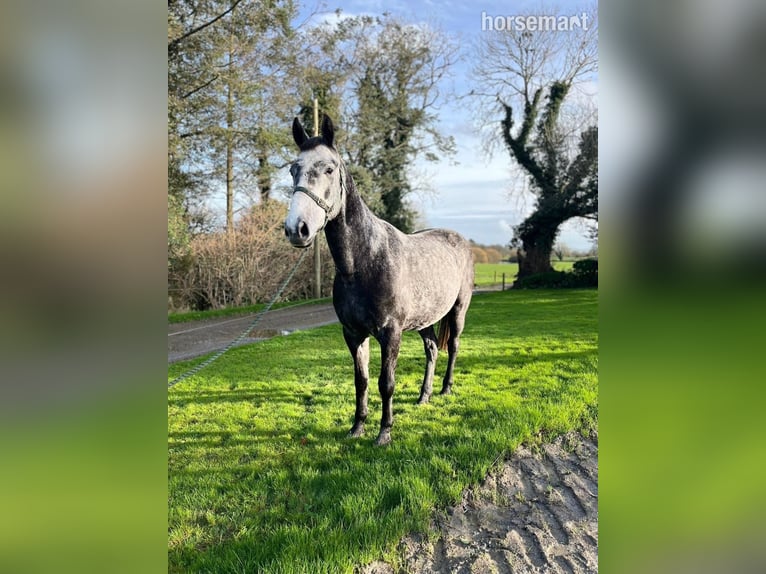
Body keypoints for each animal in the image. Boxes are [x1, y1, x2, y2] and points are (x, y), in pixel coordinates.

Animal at [284, 114, 474, 445]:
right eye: (293, 169)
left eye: (329, 169)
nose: (298, 228)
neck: (363, 262)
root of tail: (459, 239)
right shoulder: (353, 333)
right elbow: (361, 380)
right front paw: (357, 428)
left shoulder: (390, 333)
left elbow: (387, 382)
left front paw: (384, 432)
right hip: (424, 320)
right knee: (433, 349)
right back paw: (424, 396)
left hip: (458, 311)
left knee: (453, 347)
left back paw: (445, 389)